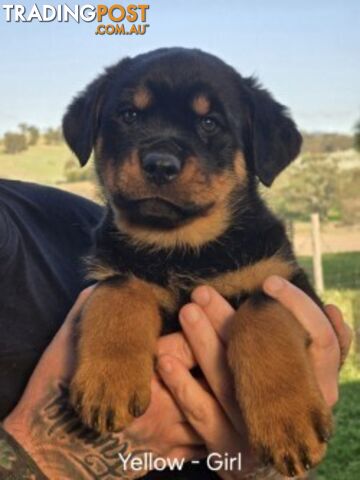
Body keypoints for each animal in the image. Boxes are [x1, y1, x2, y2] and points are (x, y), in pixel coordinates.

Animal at [63, 47, 334, 476]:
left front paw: (287, 422)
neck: (181, 246)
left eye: (210, 123)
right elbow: (119, 288)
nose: (160, 164)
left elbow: (262, 311)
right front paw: (108, 381)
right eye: (129, 115)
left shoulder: (286, 283)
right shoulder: (102, 276)